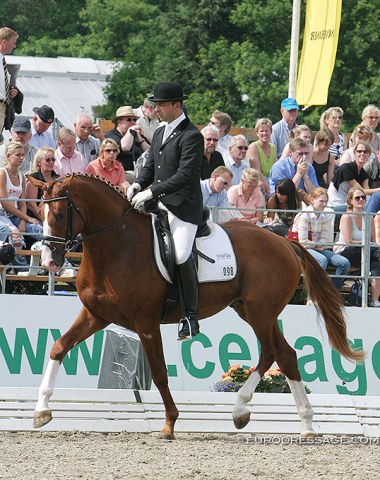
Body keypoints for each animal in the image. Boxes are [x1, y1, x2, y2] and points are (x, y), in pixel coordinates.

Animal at [29, 174, 362, 436]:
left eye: (58, 214)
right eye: (40, 212)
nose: (49, 262)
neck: (117, 246)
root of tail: (285, 242)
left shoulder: (145, 323)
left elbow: (159, 372)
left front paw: (169, 423)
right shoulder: (95, 315)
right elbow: (58, 347)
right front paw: (41, 410)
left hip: (260, 311)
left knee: (272, 353)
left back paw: (244, 410)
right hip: (251, 310)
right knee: (285, 355)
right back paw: (302, 424)